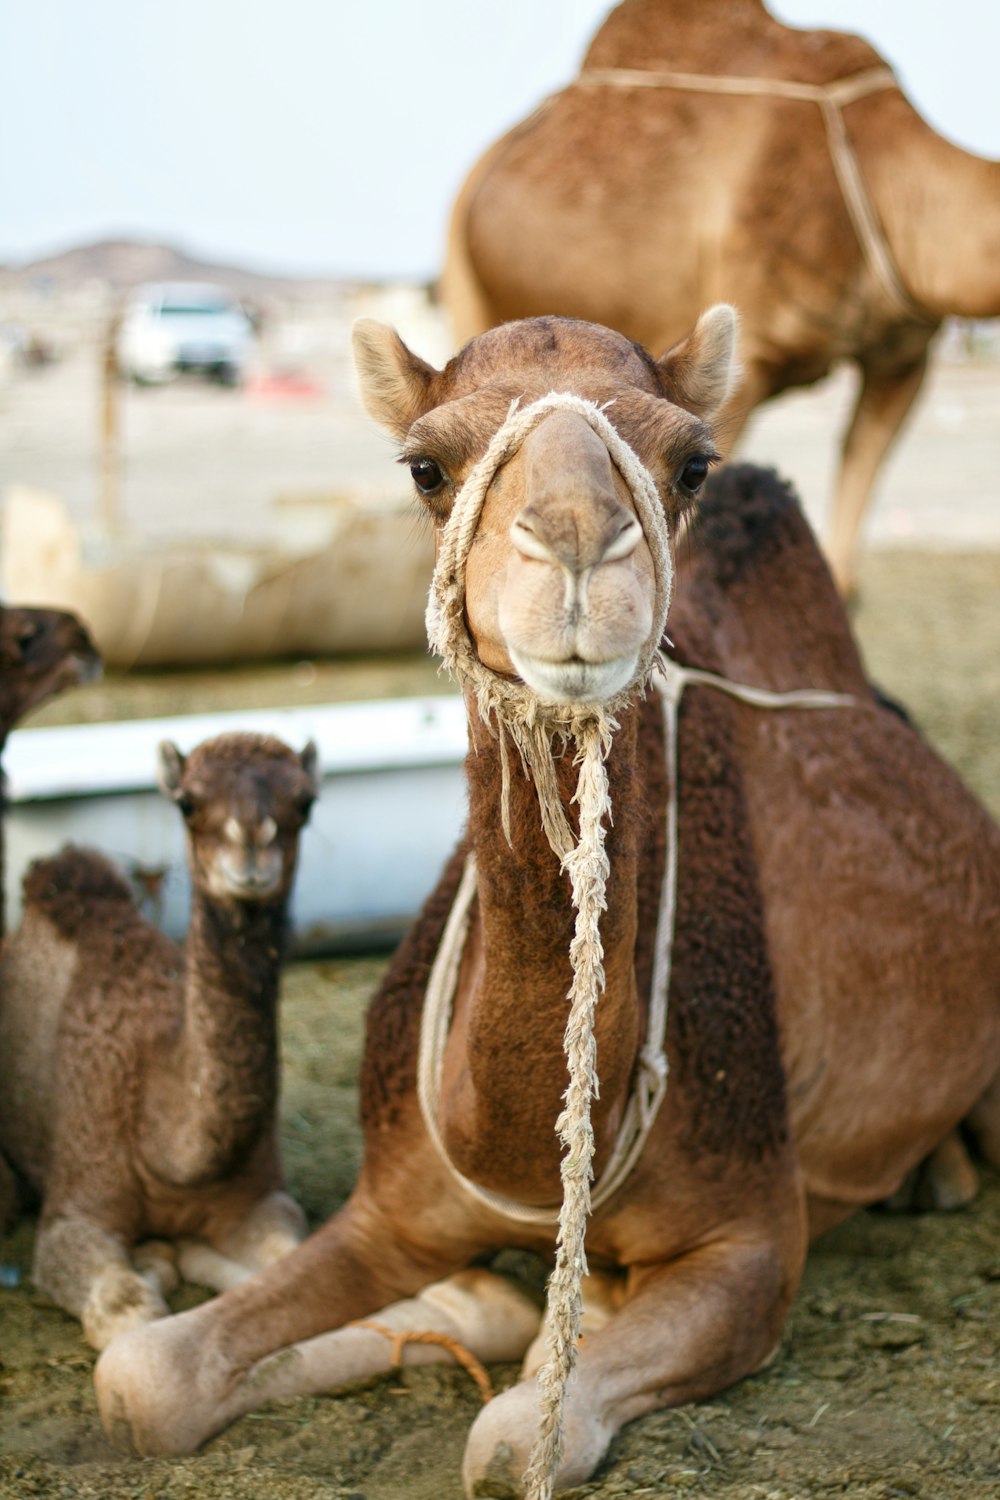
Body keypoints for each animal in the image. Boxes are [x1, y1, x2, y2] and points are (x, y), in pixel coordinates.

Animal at [0, 726, 319, 1350]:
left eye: (305, 803)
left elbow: (290, 1262)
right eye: (188, 802)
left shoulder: (263, 1194)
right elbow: (129, 1311)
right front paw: (155, 1265)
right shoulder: (75, 1211)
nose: (252, 844)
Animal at [91, 310, 1000, 1494]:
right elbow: (142, 1377)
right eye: (425, 467)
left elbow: (513, 1438)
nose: (575, 551)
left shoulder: (752, 1239)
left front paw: (555, 1328)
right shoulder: (392, 1204)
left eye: (691, 462)